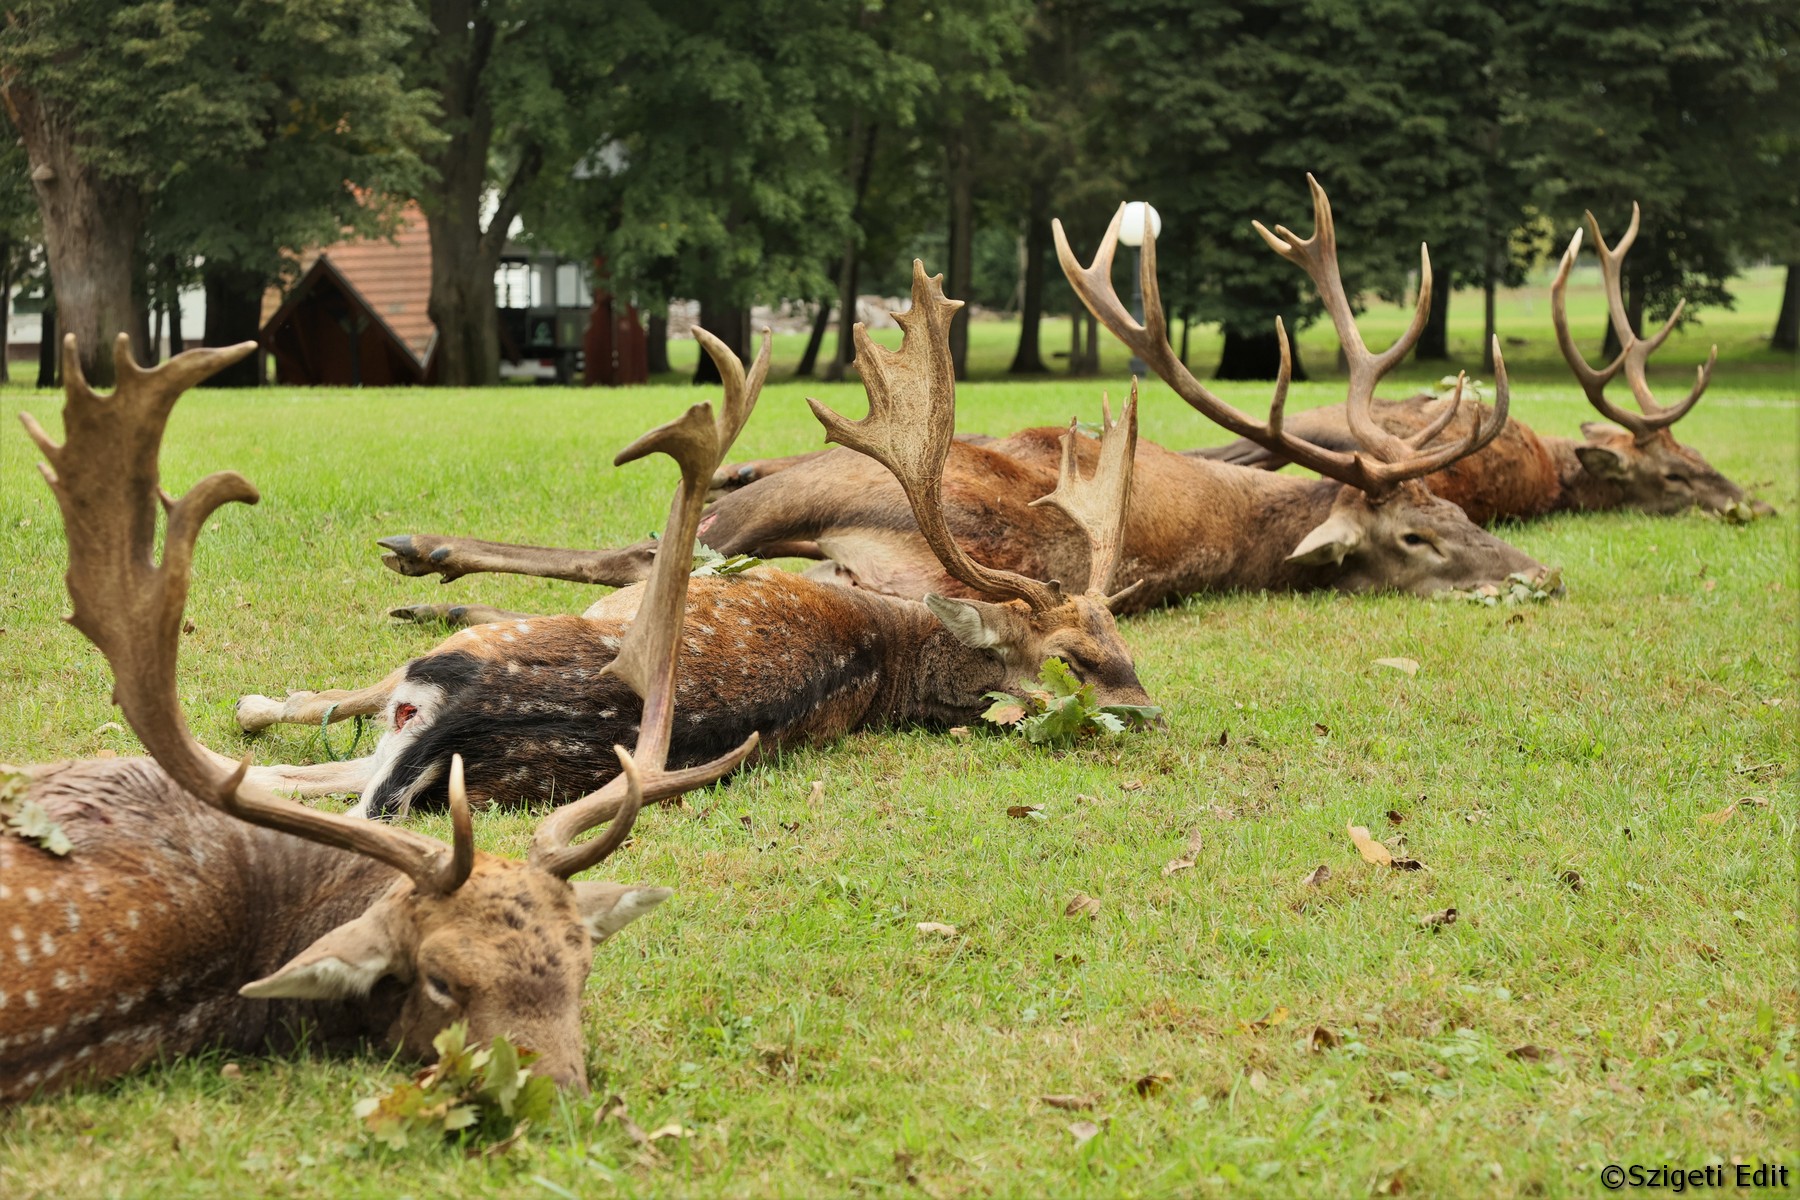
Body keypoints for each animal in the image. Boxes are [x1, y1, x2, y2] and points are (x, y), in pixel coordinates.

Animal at [232, 269, 1152, 816]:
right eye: (1083, 655)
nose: (1150, 712)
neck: (889, 637)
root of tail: (458, 729)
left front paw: (272, 700)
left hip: (442, 692)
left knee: (305, 769)